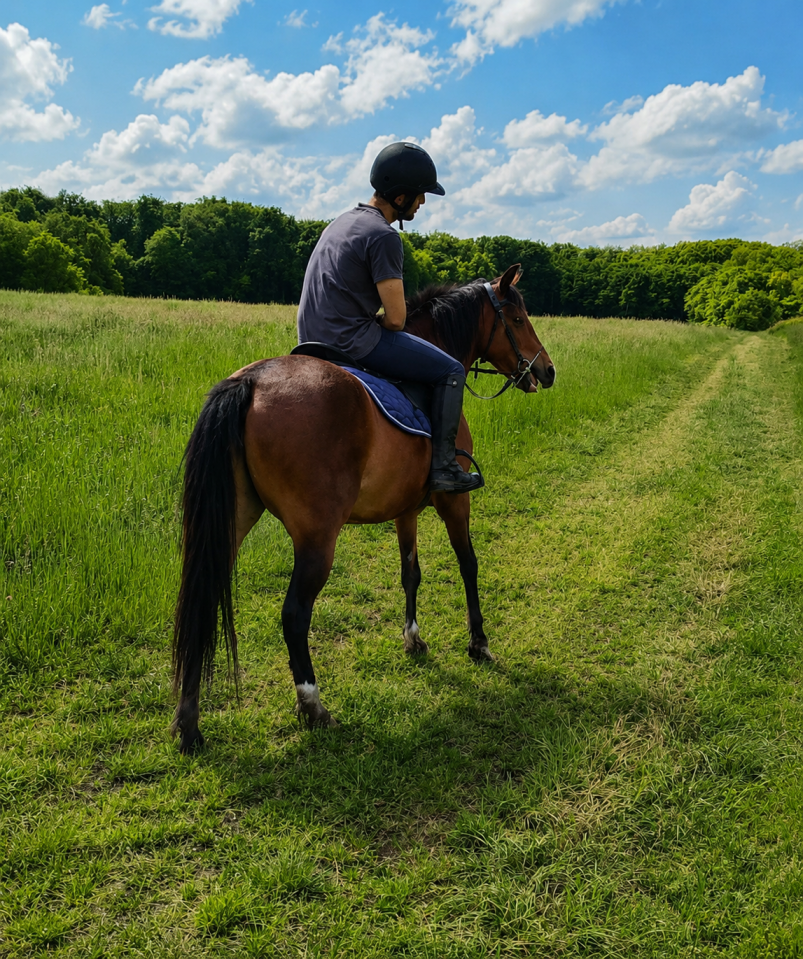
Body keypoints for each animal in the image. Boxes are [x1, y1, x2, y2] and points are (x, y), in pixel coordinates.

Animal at [171, 263, 556, 753]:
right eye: (519, 318)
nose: (547, 370)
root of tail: (251, 382)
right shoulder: (455, 500)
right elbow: (468, 564)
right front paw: (479, 643)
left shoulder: (405, 509)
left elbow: (411, 572)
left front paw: (413, 638)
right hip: (318, 537)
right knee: (294, 615)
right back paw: (313, 706)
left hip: (229, 524)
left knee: (199, 604)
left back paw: (189, 722)